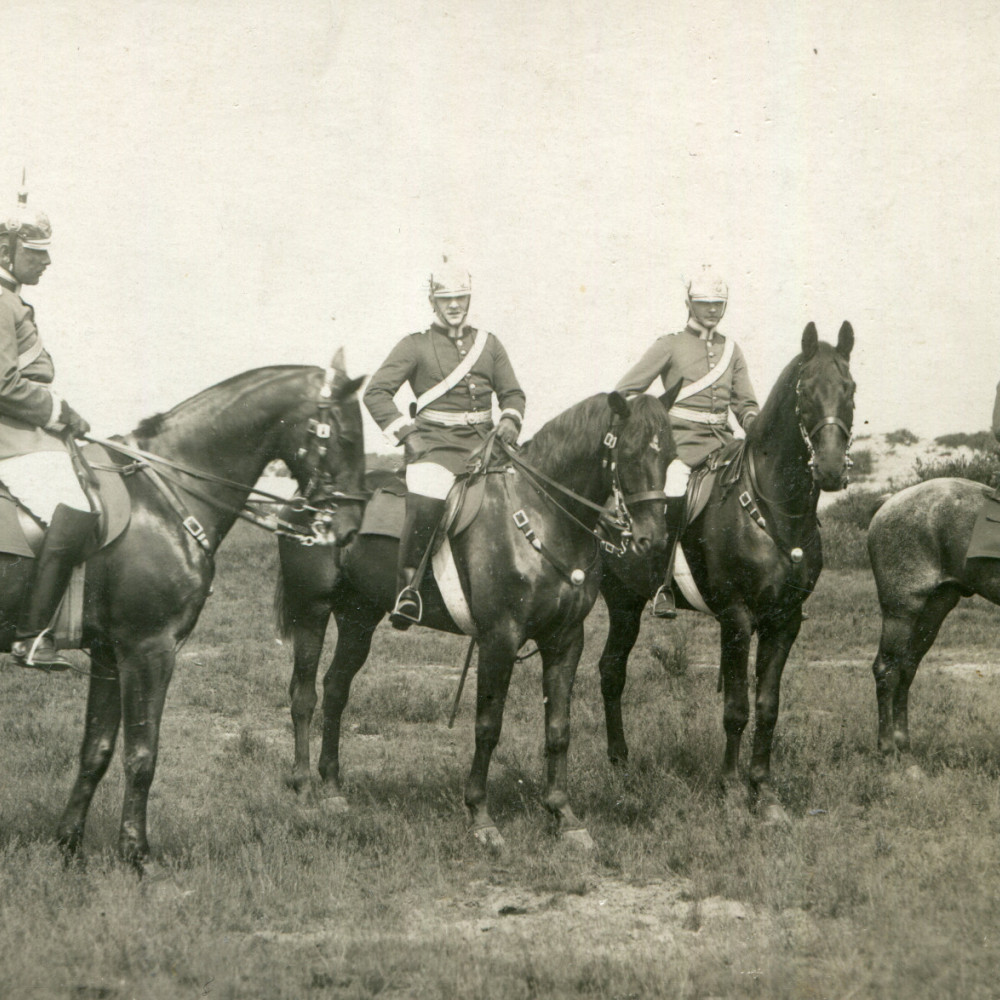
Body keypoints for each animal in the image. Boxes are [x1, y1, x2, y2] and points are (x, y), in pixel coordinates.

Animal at [0, 356, 368, 864]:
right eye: (348, 438)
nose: (350, 531)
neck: (162, 501)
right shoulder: (149, 649)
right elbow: (142, 755)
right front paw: (136, 854)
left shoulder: (110, 654)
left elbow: (97, 750)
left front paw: (69, 846)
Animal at [278, 390, 676, 852]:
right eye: (628, 453)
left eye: (671, 454)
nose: (653, 541)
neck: (541, 516)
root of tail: (304, 496)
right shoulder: (499, 639)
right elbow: (488, 726)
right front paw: (481, 817)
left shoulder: (565, 640)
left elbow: (559, 727)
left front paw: (564, 815)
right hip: (312, 610)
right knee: (304, 695)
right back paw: (303, 787)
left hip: (358, 617)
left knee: (335, 689)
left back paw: (332, 789)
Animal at [596, 324, 856, 824]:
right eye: (805, 392)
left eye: (850, 388)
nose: (831, 469)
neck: (776, 511)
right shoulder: (736, 617)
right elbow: (736, 707)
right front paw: (733, 791)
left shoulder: (784, 620)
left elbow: (768, 705)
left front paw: (766, 793)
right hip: (622, 602)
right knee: (611, 672)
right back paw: (618, 762)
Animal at [868, 474, 1000, 752]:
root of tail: (890, 501)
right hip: (901, 612)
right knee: (887, 669)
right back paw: (887, 745)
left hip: (933, 610)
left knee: (906, 668)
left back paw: (902, 742)